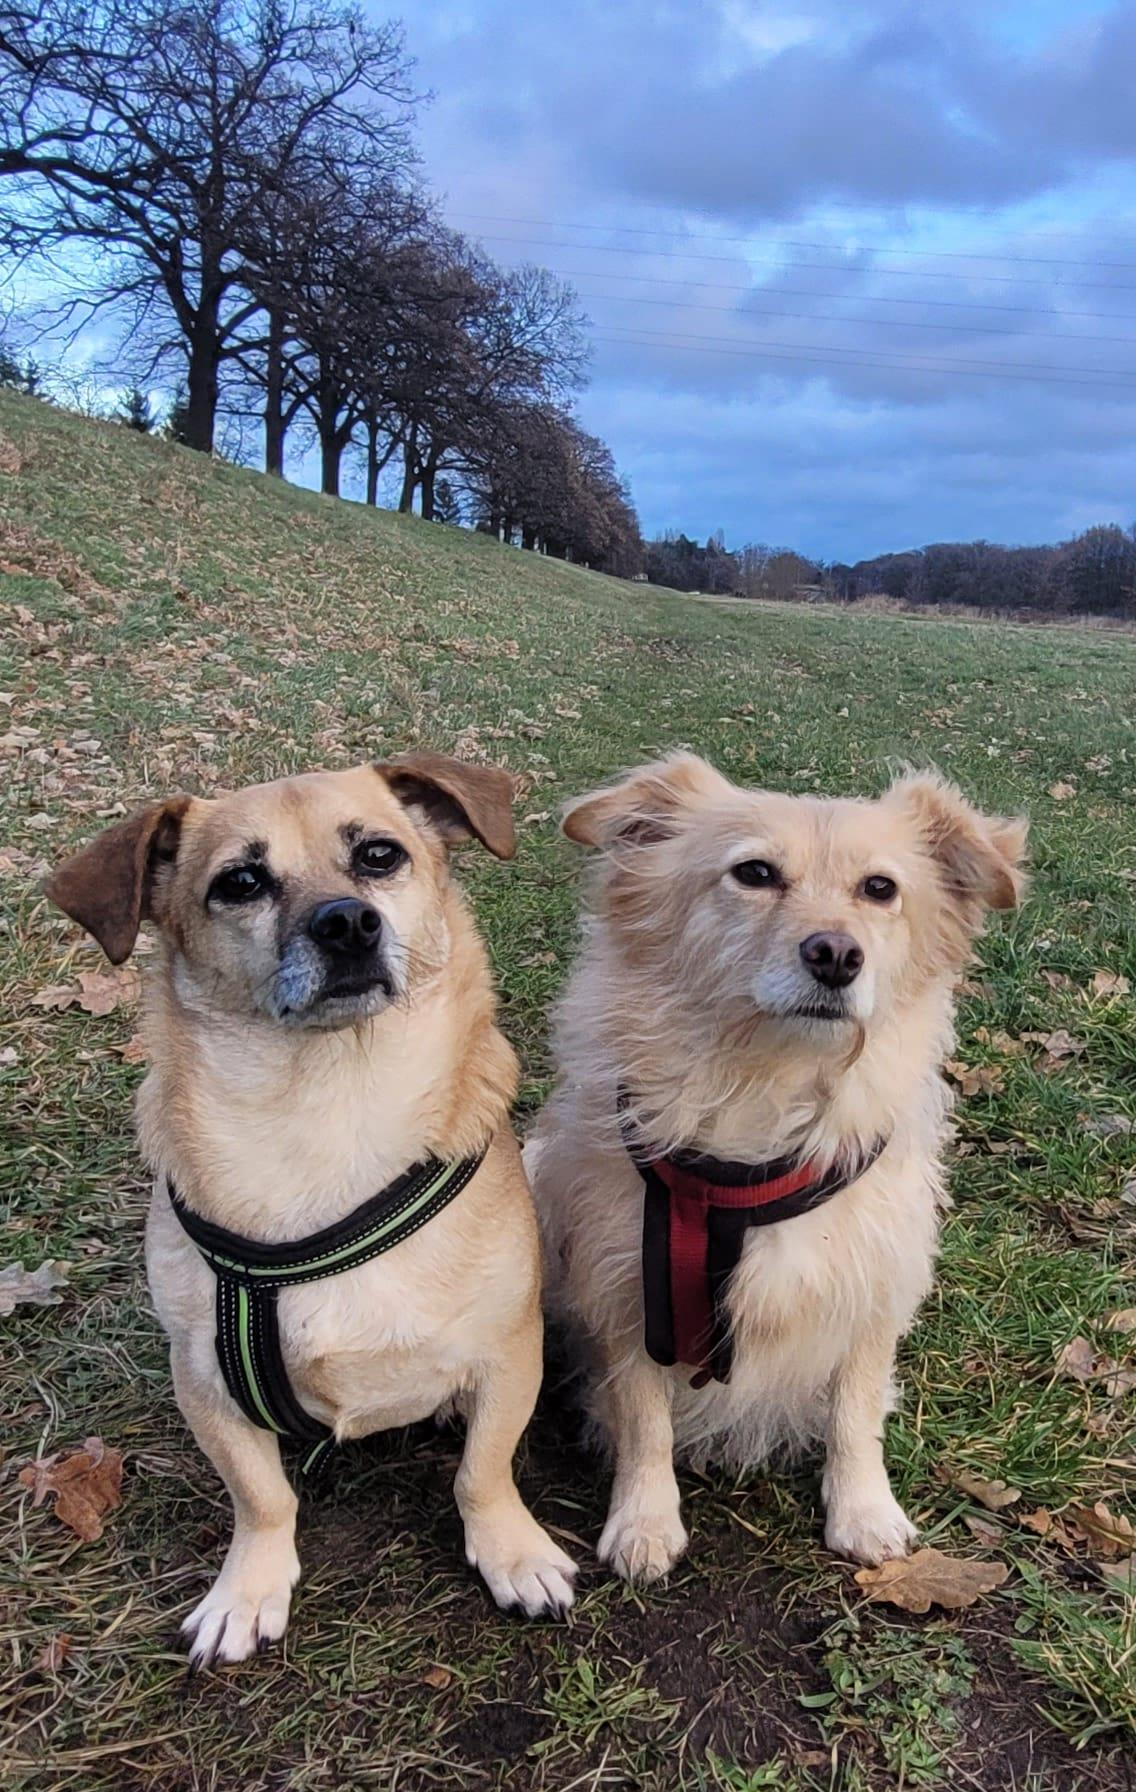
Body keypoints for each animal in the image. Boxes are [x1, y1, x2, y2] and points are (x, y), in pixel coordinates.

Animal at [46, 753, 576, 1665]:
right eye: (241, 882)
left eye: (379, 856)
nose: (347, 924)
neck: (328, 1104)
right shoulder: (205, 1381)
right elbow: (261, 1498)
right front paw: (248, 1588)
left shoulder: (510, 1354)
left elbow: (484, 1470)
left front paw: (511, 1550)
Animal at [528, 753, 1027, 1580]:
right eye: (754, 873)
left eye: (880, 888)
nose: (836, 955)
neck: (767, 1086)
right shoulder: (624, 1289)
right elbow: (644, 1419)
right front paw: (644, 1520)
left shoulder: (873, 1287)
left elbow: (856, 1413)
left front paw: (863, 1511)